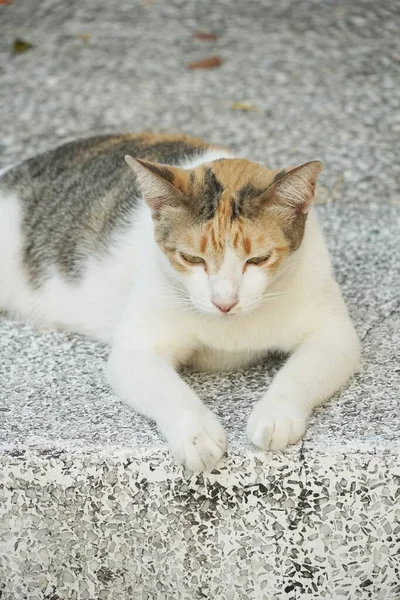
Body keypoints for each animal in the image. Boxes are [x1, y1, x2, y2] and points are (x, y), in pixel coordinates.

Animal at [0, 134, 360, 472]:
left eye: (258, 259)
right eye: (192, 258)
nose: (224, 302)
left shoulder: (335, 336)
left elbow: (299, 375)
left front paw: (275, 414)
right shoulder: (136, 351)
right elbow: (167, 390)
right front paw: (196, 434)